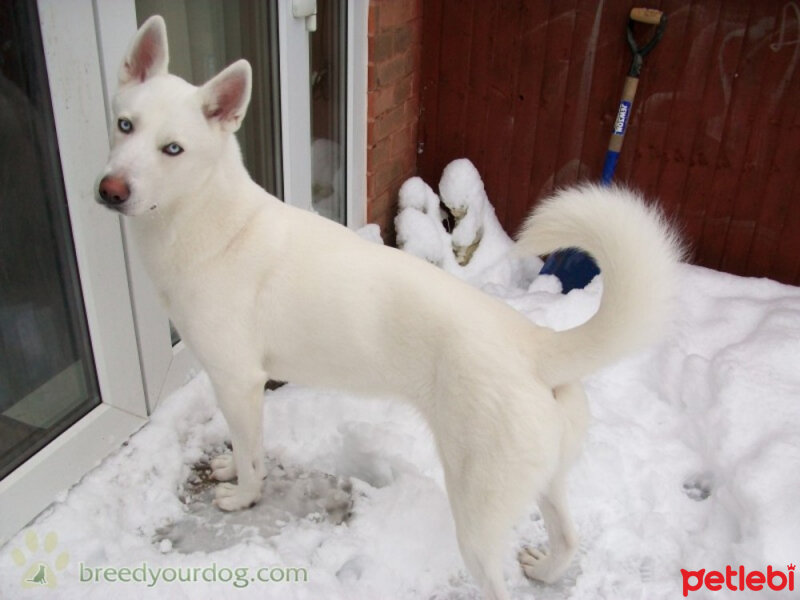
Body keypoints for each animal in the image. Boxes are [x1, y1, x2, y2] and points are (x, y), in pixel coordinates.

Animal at [98, 16, 680, 596]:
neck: (211, 220)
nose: (109, 191)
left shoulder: (238, 383)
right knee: (569, 539)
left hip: (477, 514)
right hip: (545, 480)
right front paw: (231, 472)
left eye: (173, 149)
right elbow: (246, 451)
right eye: (125, 125)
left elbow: (252, 456)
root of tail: (536, 343)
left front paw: (243, 496)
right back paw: (547, 568)